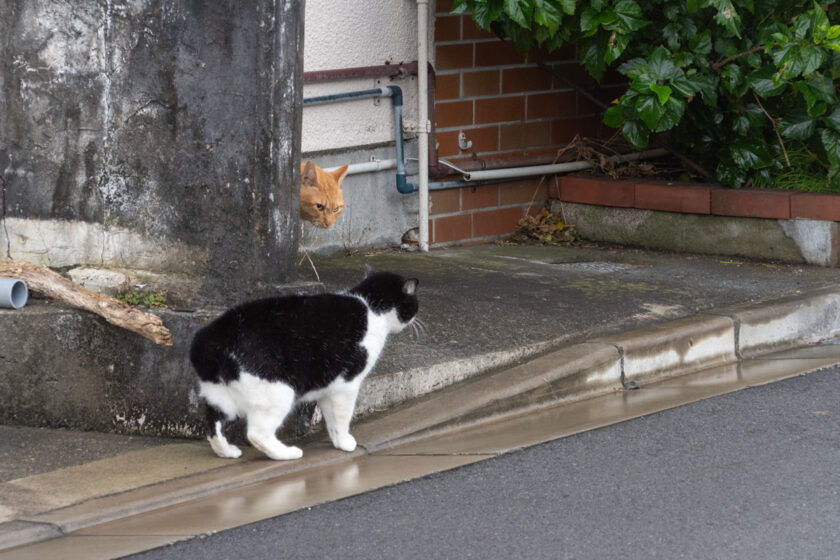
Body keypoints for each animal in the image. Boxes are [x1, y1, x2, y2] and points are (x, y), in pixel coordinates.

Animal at [187, 270, 416, 460]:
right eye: (413, 303)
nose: (415, 320)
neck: (370, 307)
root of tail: (213, 336)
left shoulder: (328, 387)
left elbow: (331, 419)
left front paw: (337, 442)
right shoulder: (347, 385)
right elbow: (342, 416)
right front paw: (346, 443)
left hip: (219, 395)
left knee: (212, 424)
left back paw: (227, 451)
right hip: (279, 392)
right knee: (256, 434)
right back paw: (287, 453)